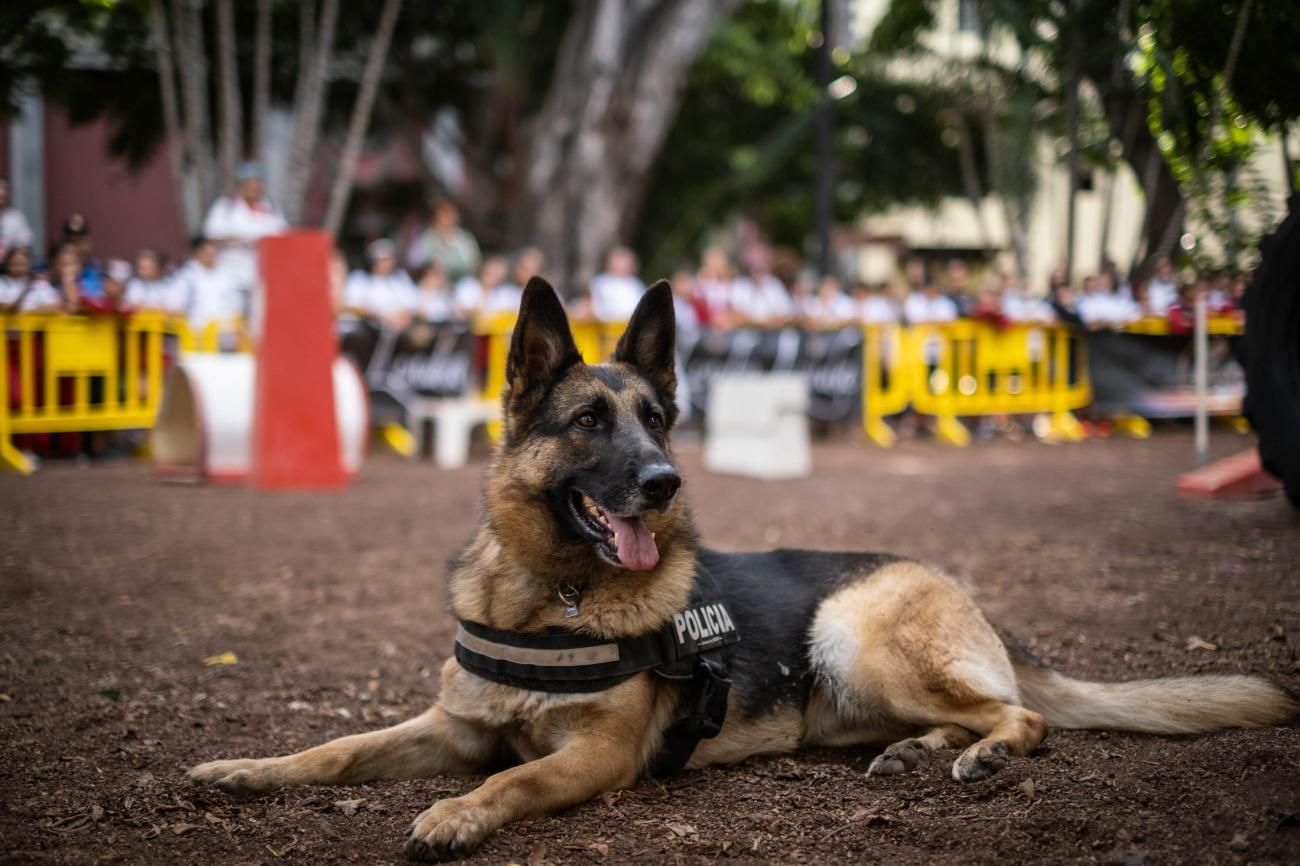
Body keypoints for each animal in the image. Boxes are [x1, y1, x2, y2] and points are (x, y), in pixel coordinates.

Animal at [188, 276, 1294, 858]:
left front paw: (456, 813)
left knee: (1019, 716)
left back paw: (976, 755)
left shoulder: (592, 758)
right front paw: (246, 769)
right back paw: (914, 753)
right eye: (589, 422)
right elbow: (335, 748)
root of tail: (960, 590)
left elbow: (515, 776)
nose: (664, 480)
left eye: (656, 418)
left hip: (853, 629)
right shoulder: (448, 725)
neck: (548, 596)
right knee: (970, 713)